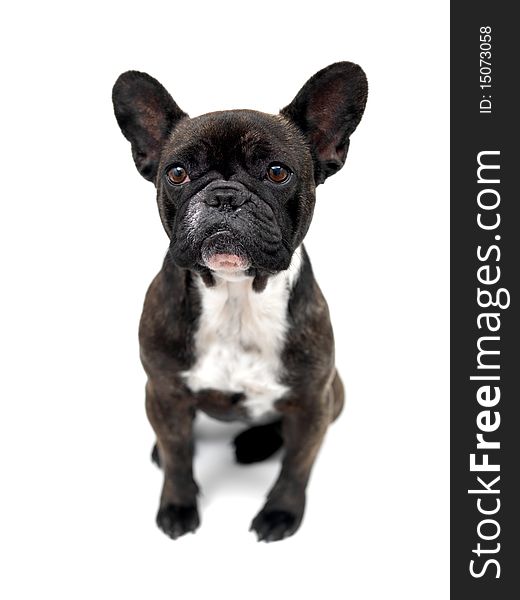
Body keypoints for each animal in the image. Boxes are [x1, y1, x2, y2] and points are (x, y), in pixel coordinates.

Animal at [111, 62, 368, 544]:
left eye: (277, 172)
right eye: (176, 173)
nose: (224, 195)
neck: (236, 297)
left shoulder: (313, 401)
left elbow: (297, 466)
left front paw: (281, 512)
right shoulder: (164, 389)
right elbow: (177, 456)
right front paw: (178, 503)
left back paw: (257, 442)